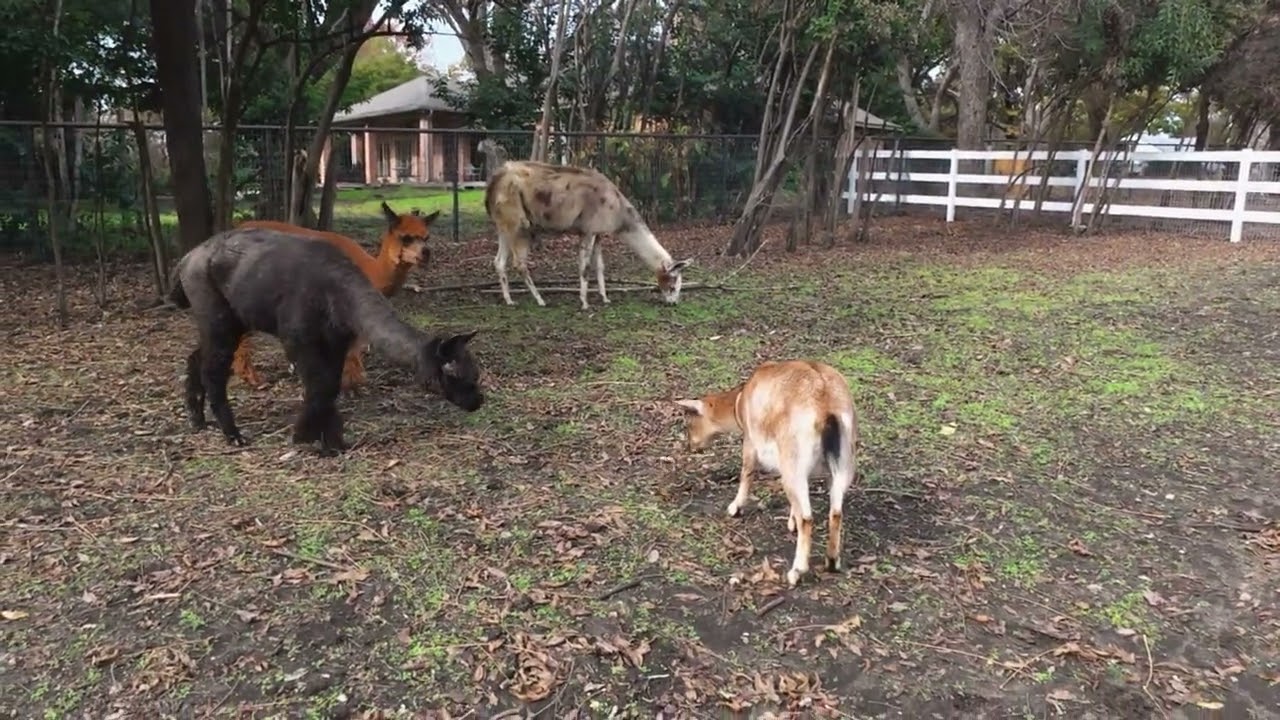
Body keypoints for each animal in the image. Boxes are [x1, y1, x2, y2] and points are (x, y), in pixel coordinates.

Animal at [168, 226, 484, 456]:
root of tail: (186, 259)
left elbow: (330, 385)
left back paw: (197, 419)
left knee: (197, 357)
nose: (478, 402)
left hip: (232, 320)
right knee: (214, 369)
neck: (339, 295)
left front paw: (333, 442)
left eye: (476, 375)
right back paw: (232, 434)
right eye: (458, 377)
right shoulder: (298, 338)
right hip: (216, 314)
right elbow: (320, 385)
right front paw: (305, 436)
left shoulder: (336, 342)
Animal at [483, 159, 692, 310]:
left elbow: (600, 266)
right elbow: (585, 267)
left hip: (504, 224)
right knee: (519, 263)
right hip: (520, 224)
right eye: (673, 285)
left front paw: (605, 298)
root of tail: (495, 180)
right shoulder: (588, 230)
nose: (674, 303)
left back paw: (509, 300)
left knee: (499, 261)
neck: (617, 209)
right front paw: (584, 303)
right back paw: (540, 300)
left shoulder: (598, 232)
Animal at [674, 360, 859, 587]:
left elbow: (747, 472)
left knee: (807, 518)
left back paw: (796, 571)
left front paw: (735, 508)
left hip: (793, 462)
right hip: (842, 464)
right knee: (836, 512)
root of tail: (827, 405)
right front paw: (791, 522)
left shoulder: (750, 441)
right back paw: (832, 561)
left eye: (689, 423)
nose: (690, 446)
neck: (740, 401)